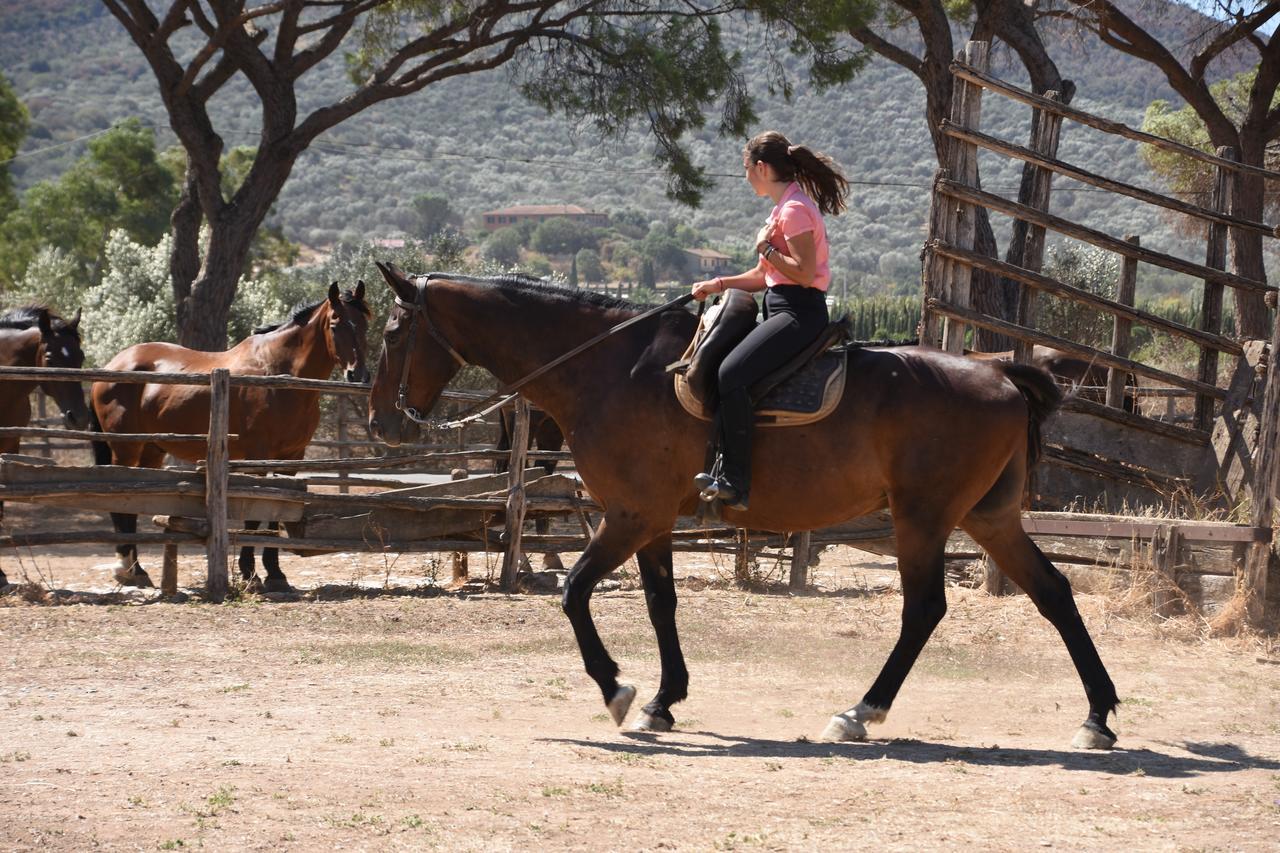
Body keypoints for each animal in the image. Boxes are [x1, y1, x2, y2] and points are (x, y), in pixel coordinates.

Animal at [88, 281, 371, 589]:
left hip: (152, 450)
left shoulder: (291, 458)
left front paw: (276, 575)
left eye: (365, 324)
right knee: (122, 504)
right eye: (335, 324)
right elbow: (254, 515)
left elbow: (278, 509)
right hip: (126, 447)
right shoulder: (258, 457)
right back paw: (129, 569)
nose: (359, 375)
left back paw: (137, 569)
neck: (278, 373)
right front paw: (251, 574)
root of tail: (115, 364)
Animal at [366, 263, 1116, 742]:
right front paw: (664, 701)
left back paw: (859, 711)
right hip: (987, 517)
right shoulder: (653, 521)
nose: (381, 422)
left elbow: (576, 592)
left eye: (392, 334)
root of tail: (1001, 373)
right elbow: (660, 603)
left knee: (925, 608)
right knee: (1054, 592)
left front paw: (616, 690)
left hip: (924, 518)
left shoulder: (630, 515)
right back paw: (1098, 715)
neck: (611, 369)